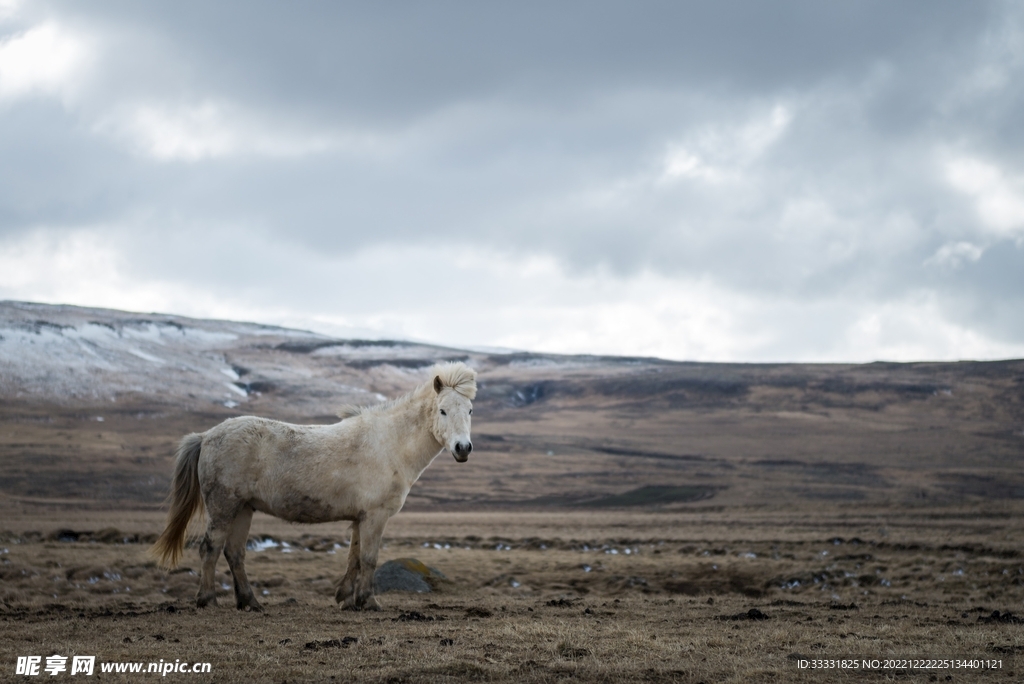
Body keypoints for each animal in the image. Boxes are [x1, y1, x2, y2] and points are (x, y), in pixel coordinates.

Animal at [151, 361, 476, 611]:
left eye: (470, 410)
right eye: (443, 410)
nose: (463, 448)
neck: (389, 443)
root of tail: (206, 436)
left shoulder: (360, 518)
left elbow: (354, 558)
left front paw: (347, 599)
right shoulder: (375, 516)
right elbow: (369, 559)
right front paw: (368, 602)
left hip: (243, 509)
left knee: (234, 553)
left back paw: (250, 602)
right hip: (223, 507)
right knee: (210, 548)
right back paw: (208, 600)